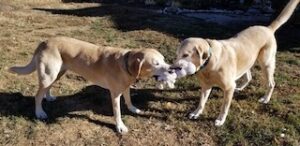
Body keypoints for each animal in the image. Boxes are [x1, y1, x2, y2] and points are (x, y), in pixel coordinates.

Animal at [8, 36, 176, 133]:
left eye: (164, 59)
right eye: (156, 64)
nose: (173, 69)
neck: (125, 63)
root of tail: (44, 41)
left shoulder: (125, 87)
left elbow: (129, 100)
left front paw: (133, 109)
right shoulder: (115, 95)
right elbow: (117, 113)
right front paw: (120, 127)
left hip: (56, 74)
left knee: (46, 89)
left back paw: (48, 97)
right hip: (49, 74)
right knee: (37, 96)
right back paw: (39, 113)